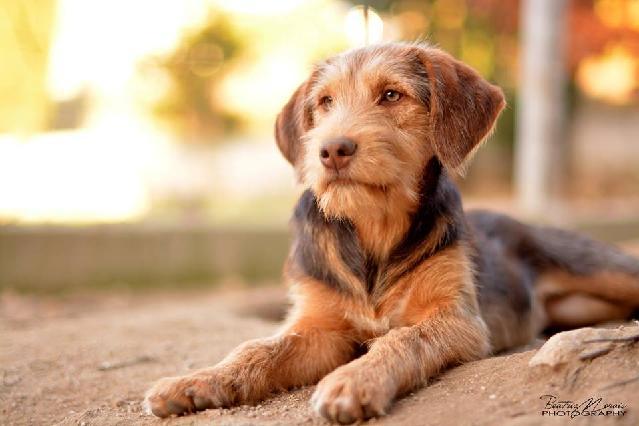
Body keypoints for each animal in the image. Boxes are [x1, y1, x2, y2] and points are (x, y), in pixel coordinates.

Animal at [145, 42, 639, 422]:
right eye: (324, 102)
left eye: (390, 94)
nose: (332, 150)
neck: (374, 229)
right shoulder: (320, 327)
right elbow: (258, 347)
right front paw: (197, 380)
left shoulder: (457, 319)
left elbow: (401, 337)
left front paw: (353, 380)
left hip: (600, 265)